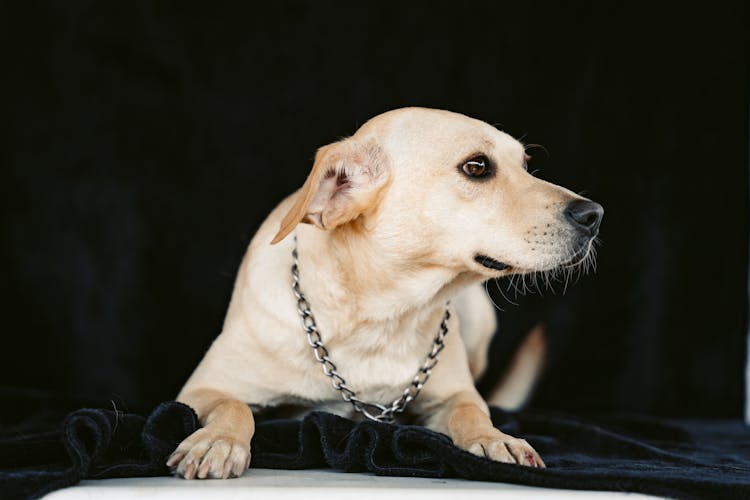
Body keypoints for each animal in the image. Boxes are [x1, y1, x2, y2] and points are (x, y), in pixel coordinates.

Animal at [167, 107, 604, 478]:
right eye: (477, 167)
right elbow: (234, 405)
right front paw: (218, 441)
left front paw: (494, 438)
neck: (381, 317)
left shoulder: (453, 395)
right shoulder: (201, 388)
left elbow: (472, 411)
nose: (594, 215)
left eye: (526, 166)